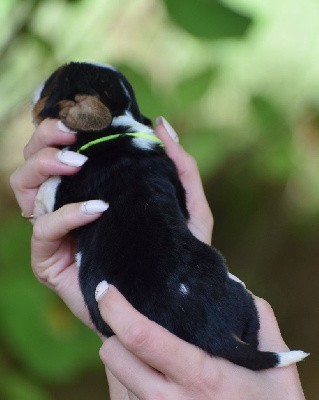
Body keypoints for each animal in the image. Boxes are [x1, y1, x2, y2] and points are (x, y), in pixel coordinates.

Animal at [31, 61, 308, 370]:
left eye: (51, 83)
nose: (35, 88)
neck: (117, 125)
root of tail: (214, 333)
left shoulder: (67, 190)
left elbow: (48, 188)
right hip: (247, 310)